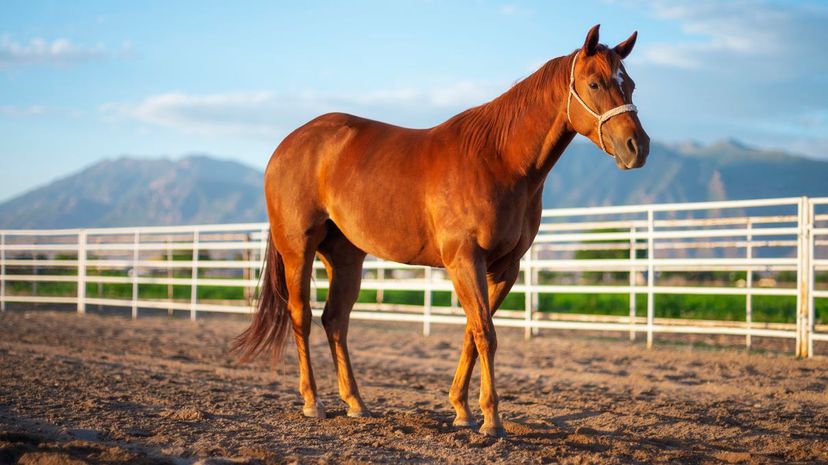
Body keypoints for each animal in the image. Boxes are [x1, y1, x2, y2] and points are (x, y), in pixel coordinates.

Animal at [233, 24, 648, 438]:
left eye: (630, 85)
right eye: (594, 84)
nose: (638, 147)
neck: (498, 159)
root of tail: (287, 145)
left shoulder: (505, 268)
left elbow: (472, 333)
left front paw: (462, 410)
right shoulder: (465, 260)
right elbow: (485, 334)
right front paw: (491, 420)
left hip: (346, 257)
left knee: (335, 320)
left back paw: (356, 404)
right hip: (297, 250)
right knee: (301, 316)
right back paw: (312, 402)